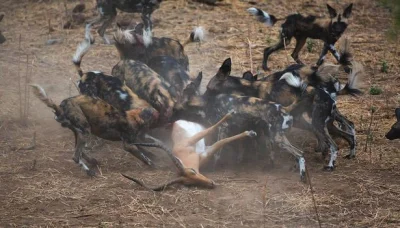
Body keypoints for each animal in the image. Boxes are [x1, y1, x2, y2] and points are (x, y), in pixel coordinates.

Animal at [121, 110, 256, 191]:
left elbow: (213, 131)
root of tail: (174, 123)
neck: (186, 154)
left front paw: (249, 131)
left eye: (192, 171)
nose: (211, 183)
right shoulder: (206, 152)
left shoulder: (194, 140)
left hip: (197, 130)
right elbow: (222, 141)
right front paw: (249, 133)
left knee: (209, 128)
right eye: (190, 183)